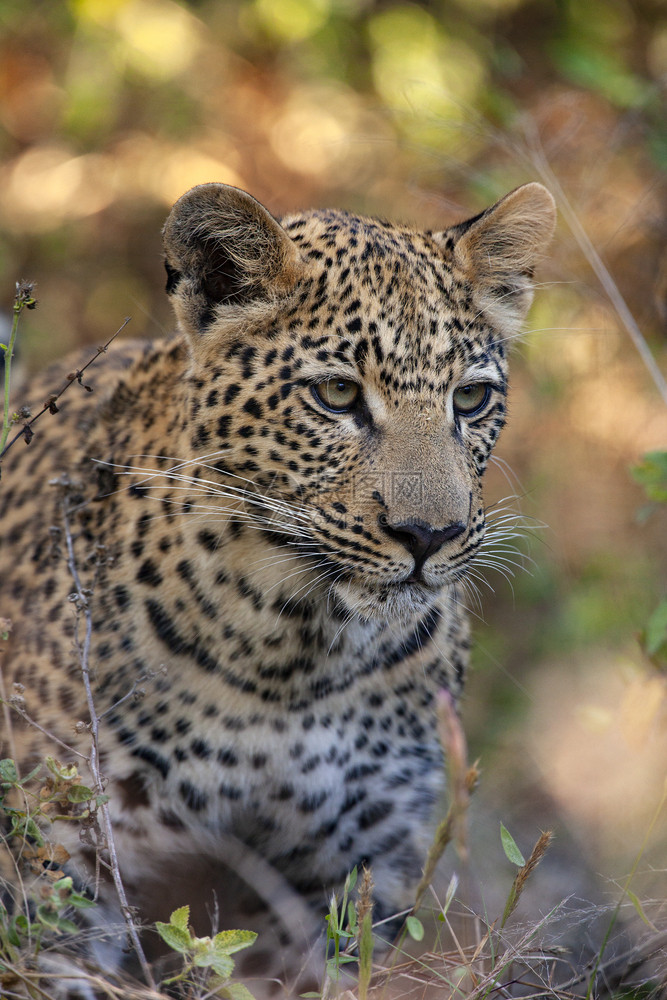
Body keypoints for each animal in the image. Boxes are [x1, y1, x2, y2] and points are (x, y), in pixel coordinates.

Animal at [0, 182, 556, 992]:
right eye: (337, 394)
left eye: (470, 401)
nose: (429, 536)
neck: (295, 654)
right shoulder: (63, 859)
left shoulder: (340, 882)